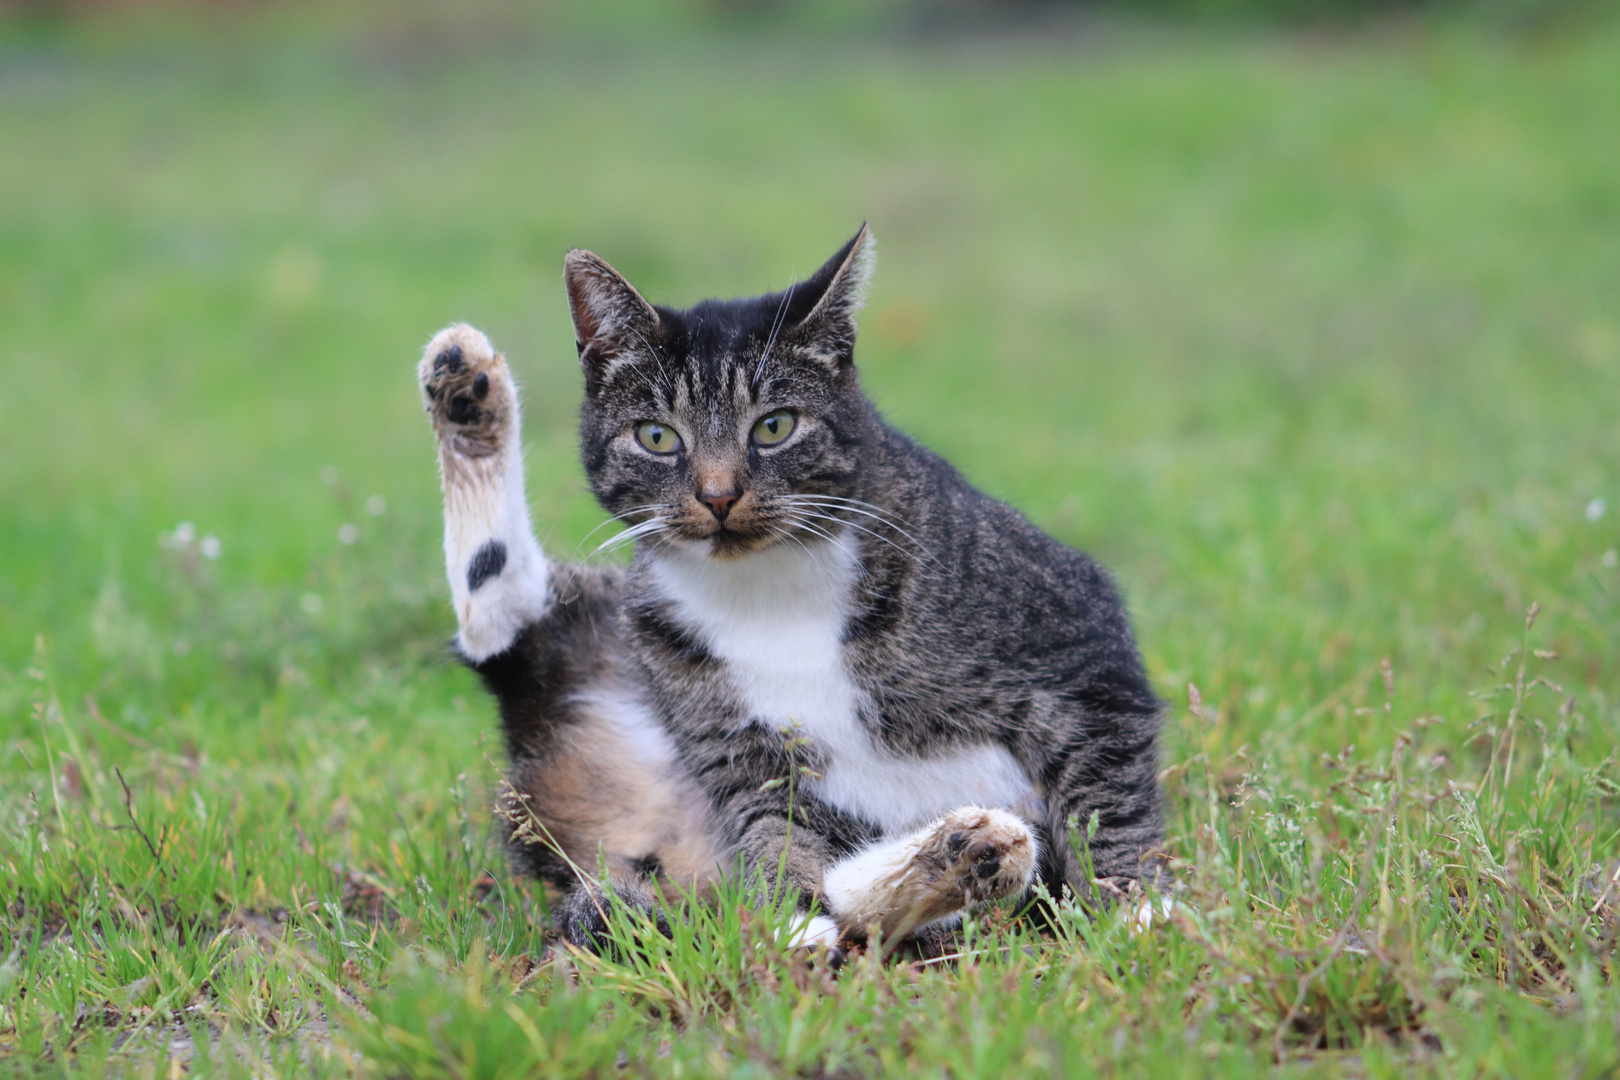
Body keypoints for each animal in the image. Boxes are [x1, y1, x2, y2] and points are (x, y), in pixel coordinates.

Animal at [411, 223, 1159, 952]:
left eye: (774, 426)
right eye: (657, 437)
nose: (718, 496)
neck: (768, 589)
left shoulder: (1077, 638)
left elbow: (1107, 797)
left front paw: (1140, 911)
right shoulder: (737, 753)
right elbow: (779, 832)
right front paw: (797, 919)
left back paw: (973, 853)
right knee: (506, 612)